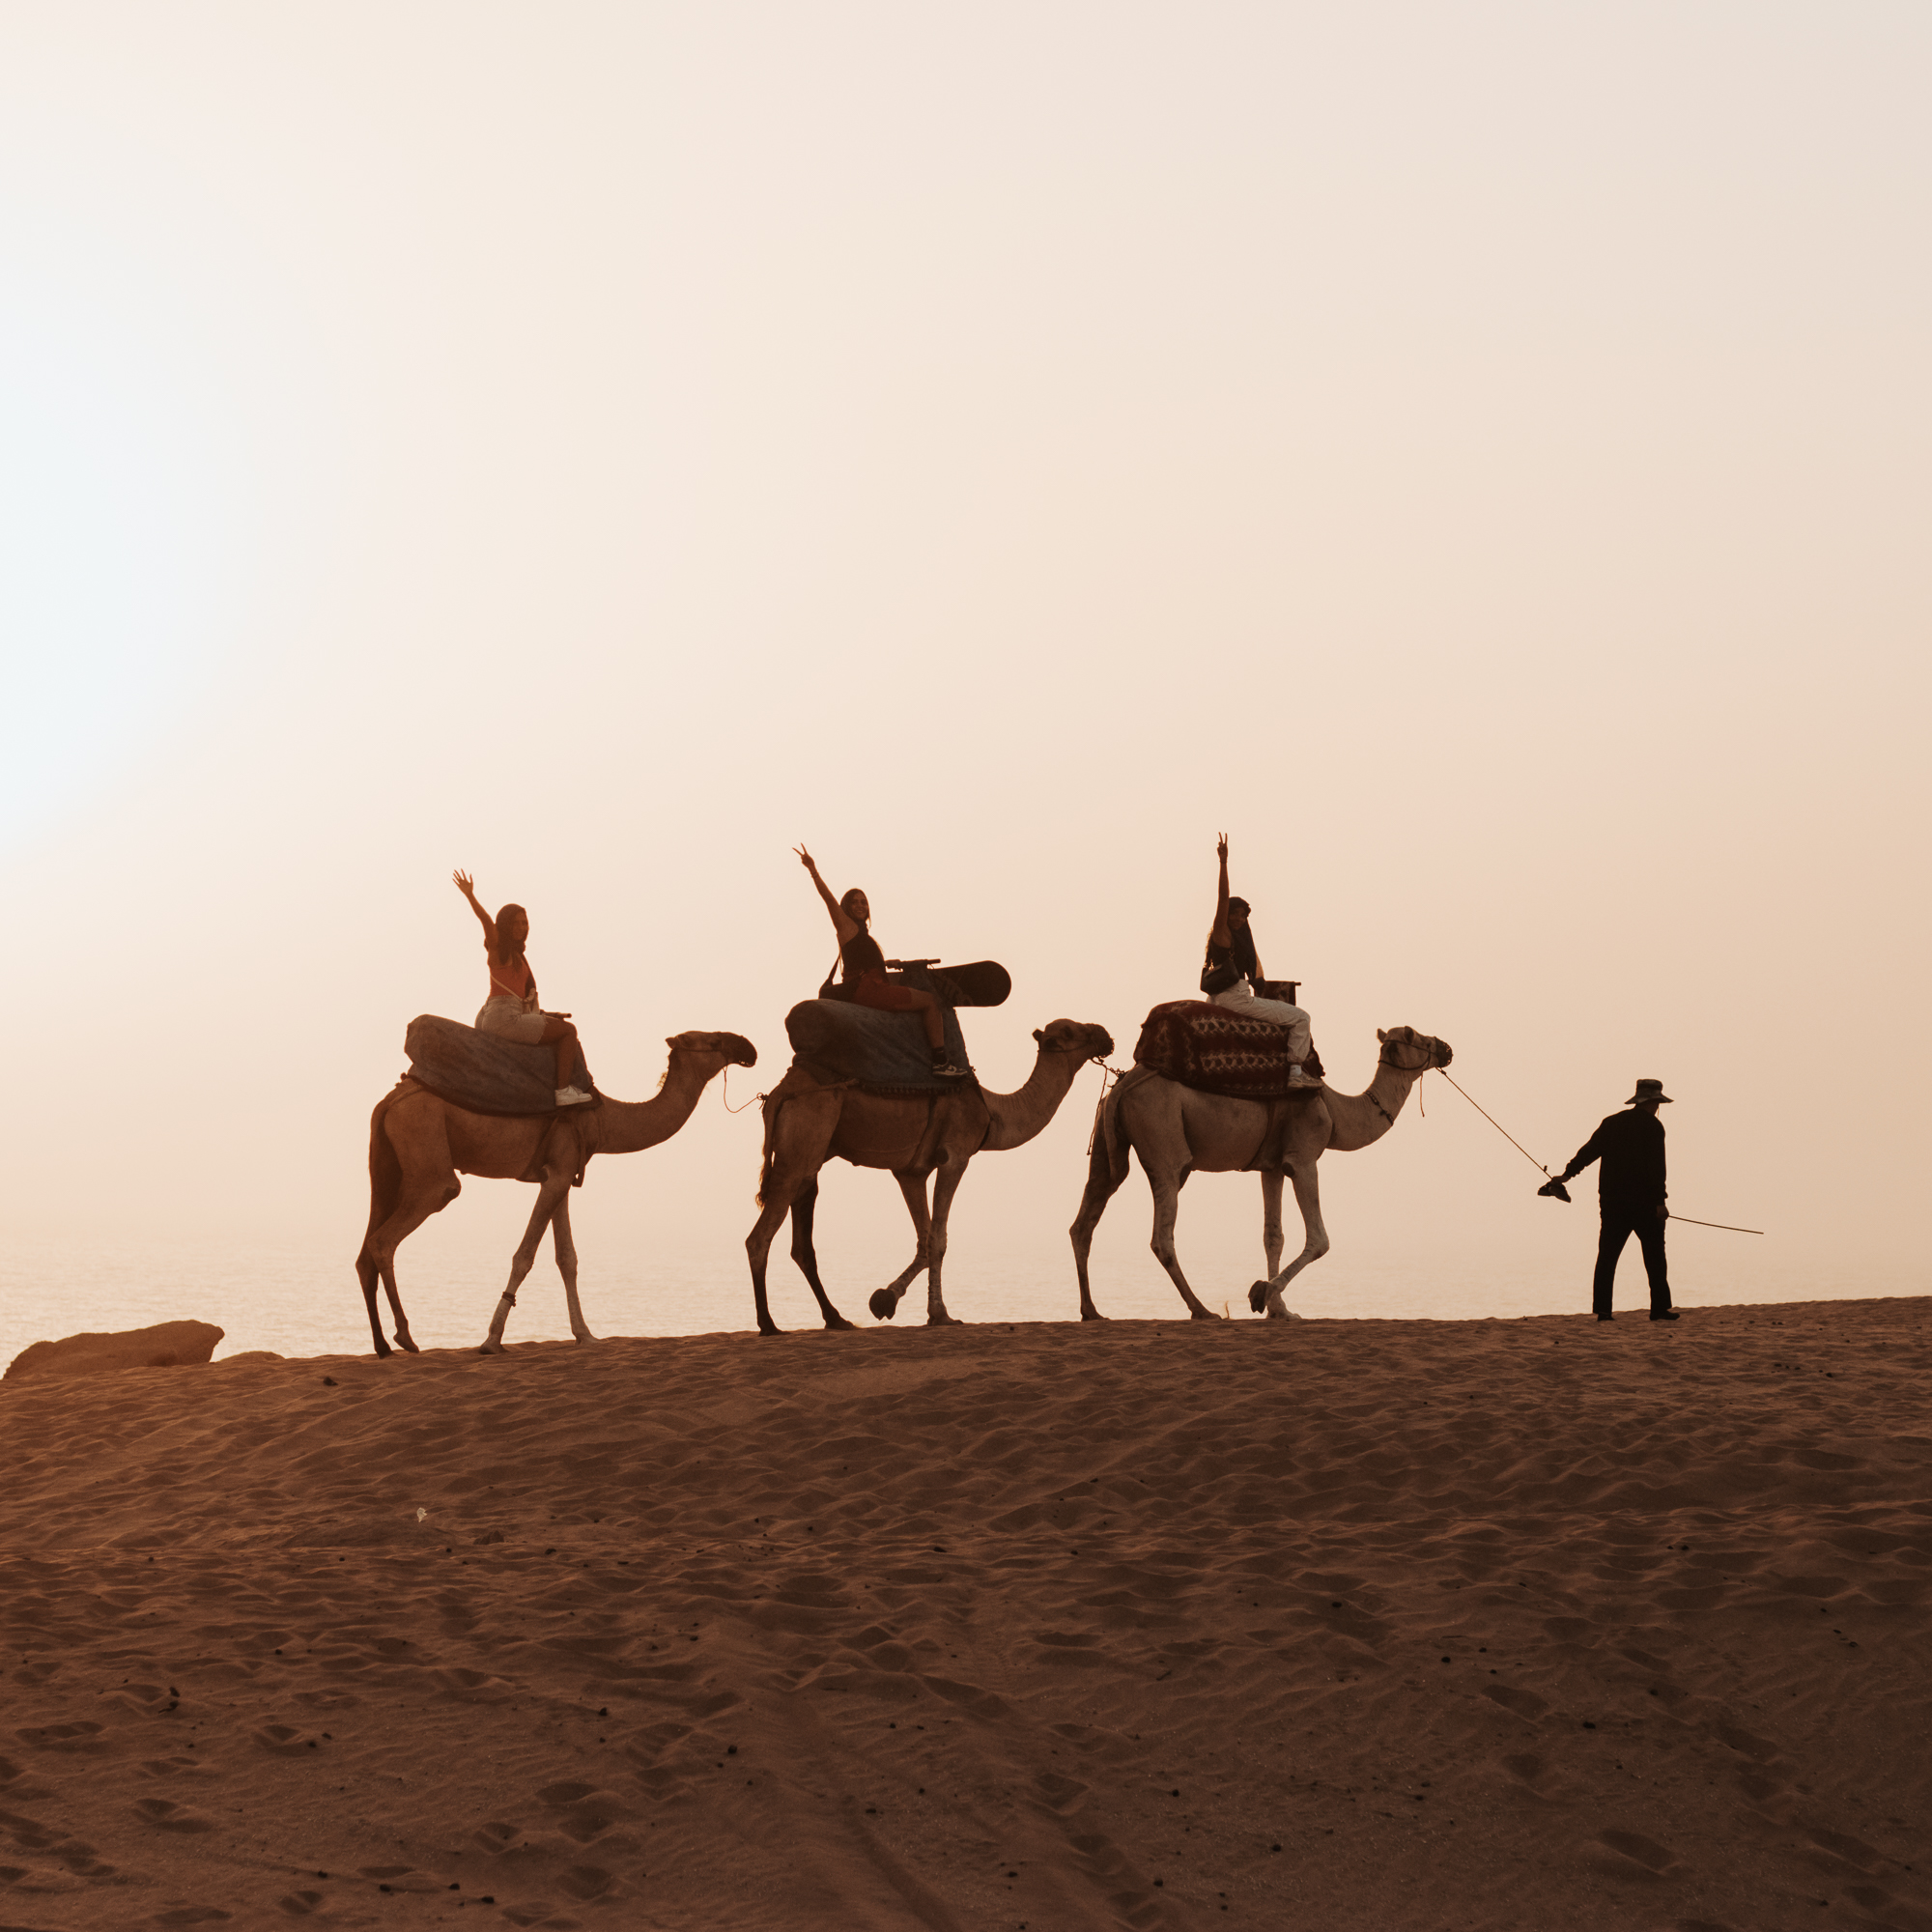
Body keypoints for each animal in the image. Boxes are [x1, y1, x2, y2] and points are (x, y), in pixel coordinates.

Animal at [356, 1030, 757, 1358]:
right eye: (708, 1041)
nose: (747, 1047)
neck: (603, 1118)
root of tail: (391, 1101)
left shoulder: (561, 1173)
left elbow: (567, 1258)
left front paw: (585, 1335)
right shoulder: (559, 1170)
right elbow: (525, 1256)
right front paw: (491, 1340)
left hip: (390, 1164)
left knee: (365, 1250)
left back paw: (382, 1346)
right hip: (427, 1151)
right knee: (389, 1236)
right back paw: (405, 1337)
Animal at [746, 1018, 1115, 1333]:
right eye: (1070, 1031)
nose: (1105, 1035)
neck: (992, 1111)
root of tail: (779, 1094)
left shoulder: (911, 1171)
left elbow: (923, 1240)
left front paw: (885, 1300)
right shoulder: (956, 1156)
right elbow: (939, 1239)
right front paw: (940, 1315)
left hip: (811, 1152)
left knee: (801, 1240)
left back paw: (836, 1319)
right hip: (804, 1138)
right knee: (759, 1237)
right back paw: (768, 1324)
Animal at [1069, 1024, 1453, 1320]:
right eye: (1419, 1038)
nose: (1447, 1048)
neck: (1336, 1111)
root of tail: (1121, 1086)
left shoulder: (1272, 1166)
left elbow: (1273, 1236)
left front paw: (1280, 1309)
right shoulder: (1303, 1158)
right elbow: (1320, 1238)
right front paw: (1260, 1294)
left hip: (1106, 1145)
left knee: (1085, 1219)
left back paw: (1091, 1311)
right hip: (1164, 1142)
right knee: (1162, 1235)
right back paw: (1202, 1310)